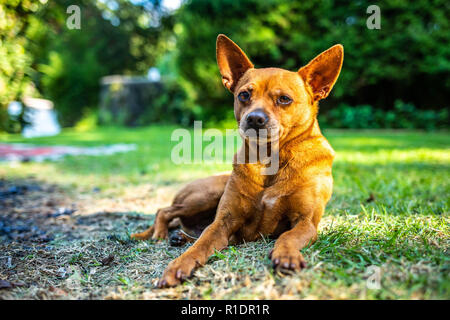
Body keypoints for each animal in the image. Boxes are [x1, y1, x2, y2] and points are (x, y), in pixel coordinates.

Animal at [132, 34, 342, 288]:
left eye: (284, 99)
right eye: (244, 95)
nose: (255, 118)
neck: (269, 160)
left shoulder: (306, 222)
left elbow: (288, 236)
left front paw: (286, 255)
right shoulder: (223, 222)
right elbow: (202, 243)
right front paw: (179, 265)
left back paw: (179, 237)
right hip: (206, 195)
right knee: (165, 211)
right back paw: (162, 234)